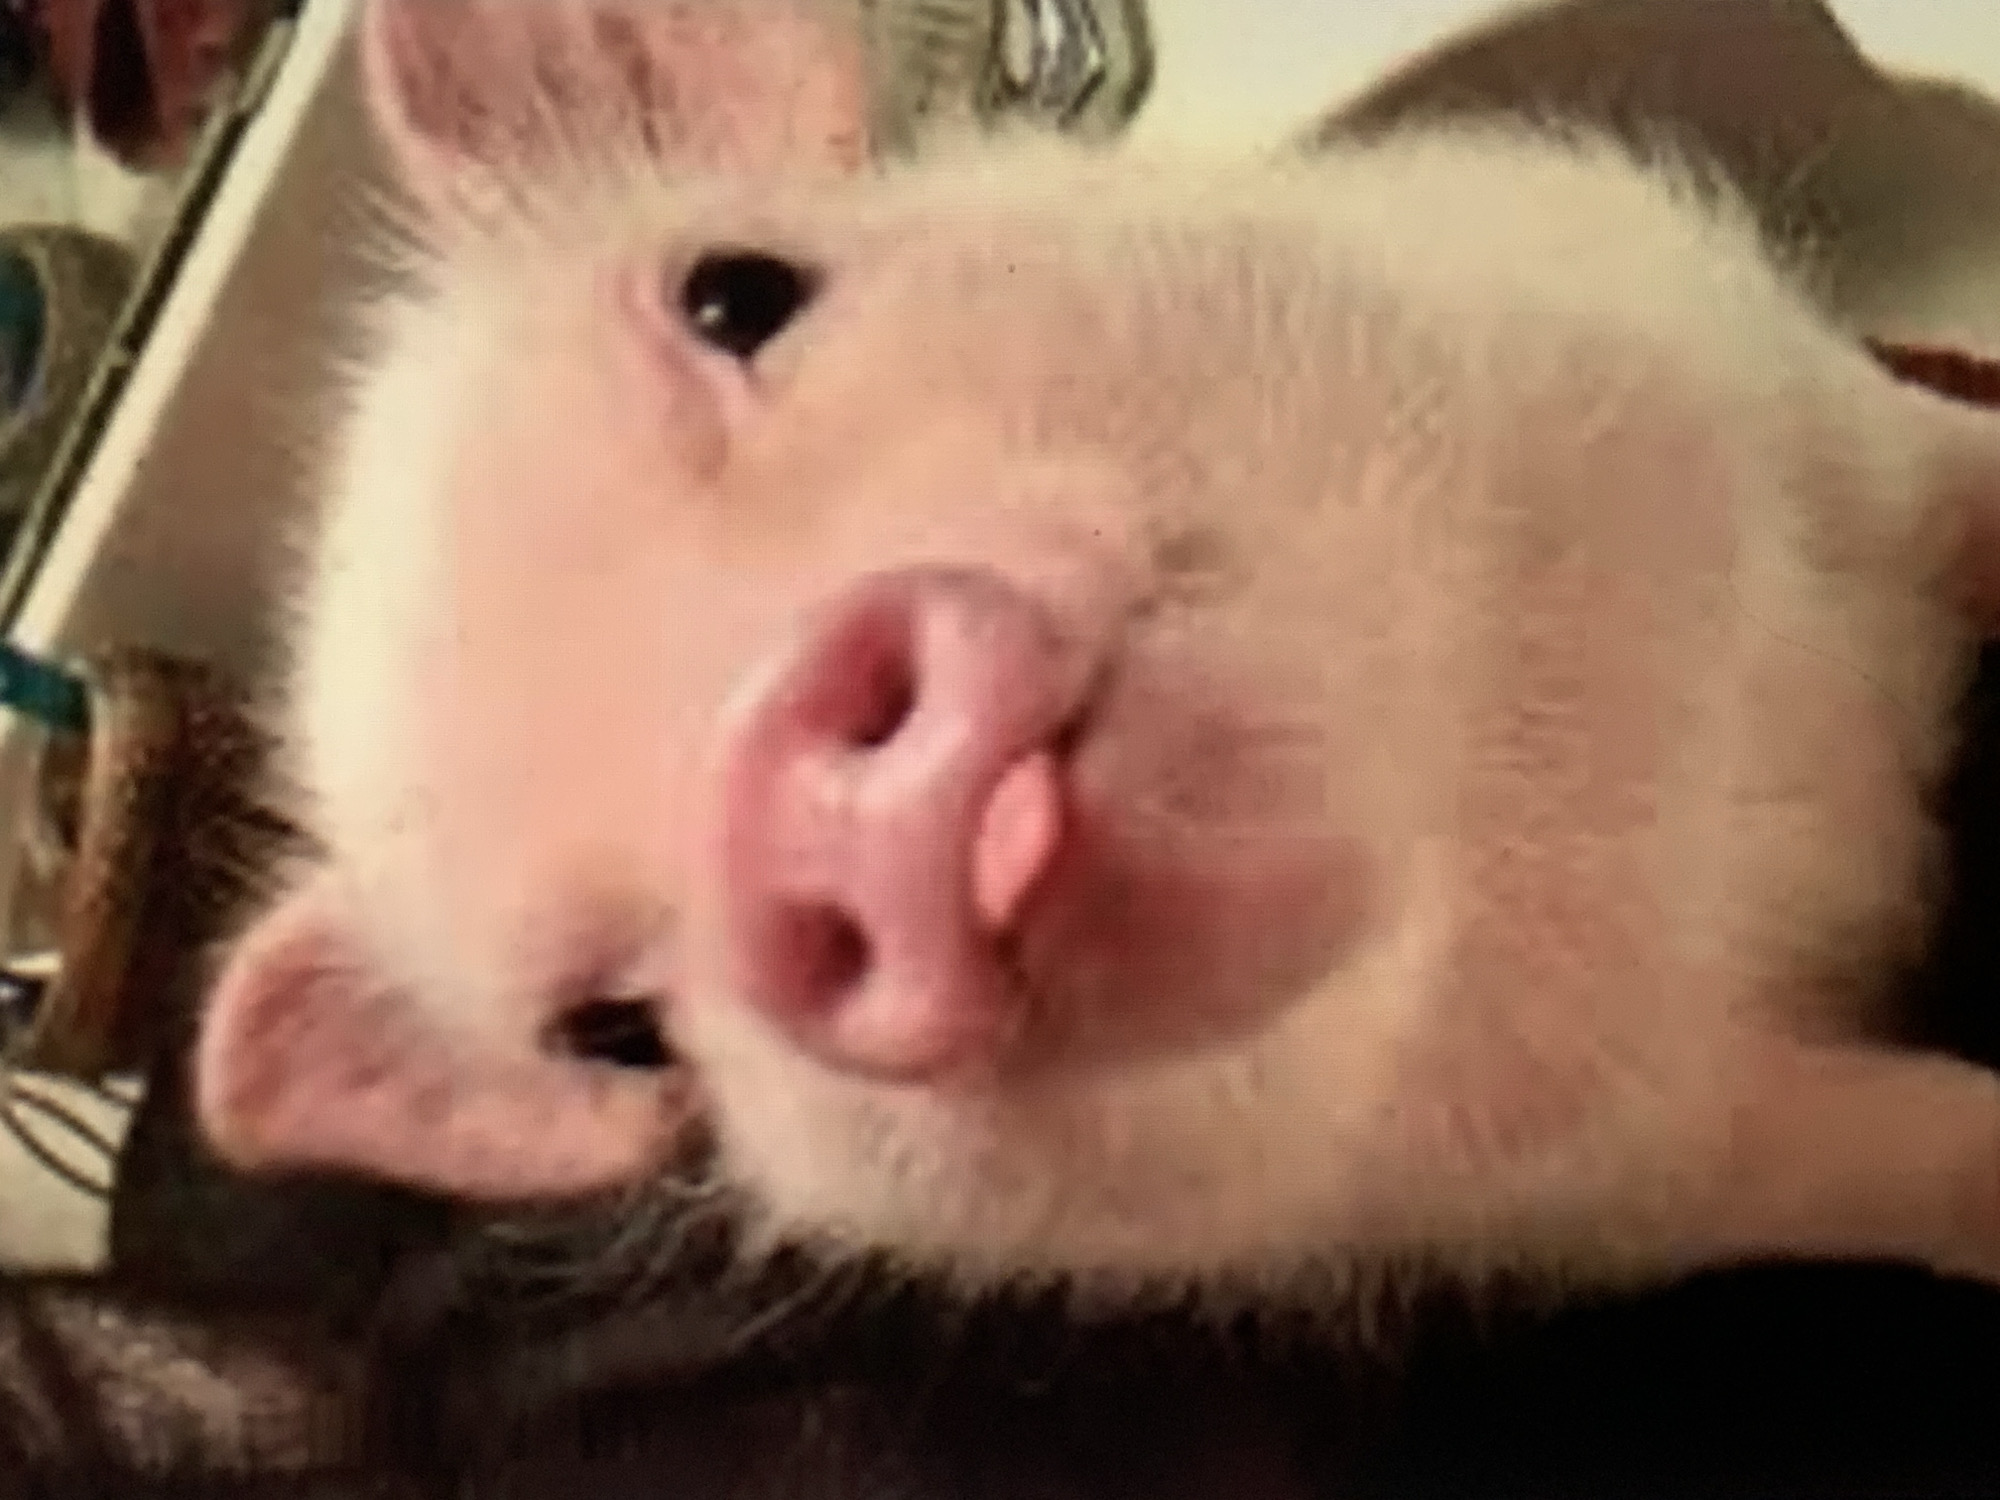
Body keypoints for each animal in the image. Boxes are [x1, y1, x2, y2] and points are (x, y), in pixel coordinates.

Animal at [189, 0, 2000, 1318]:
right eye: (614, 1033)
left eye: (738, 293)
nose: (789, 784)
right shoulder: (1617, 1183)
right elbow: (1894, 1153)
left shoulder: (1766, 370)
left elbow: (1943, 474)